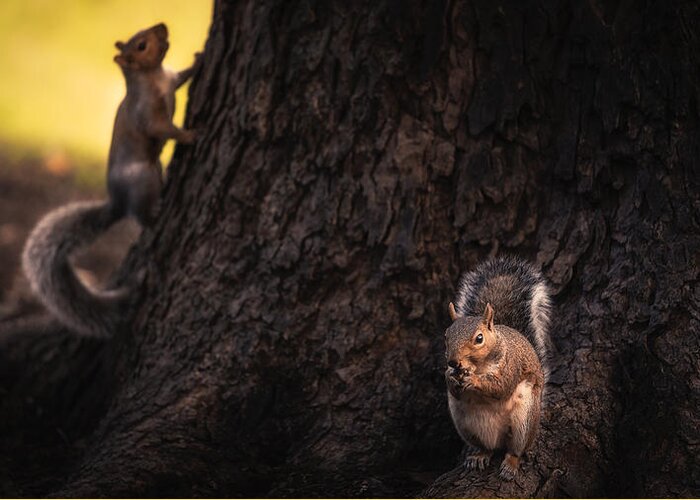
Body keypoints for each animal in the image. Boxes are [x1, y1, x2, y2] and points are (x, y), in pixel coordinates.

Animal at [21, 22, 200, 336]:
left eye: (144, 33)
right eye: (141, 45)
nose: (163, 26)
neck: (154, 76)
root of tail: (118, 201)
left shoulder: (171, 80)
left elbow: (183, 76)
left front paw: (199, 58)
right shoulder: (148, 115)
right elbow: (163, 129)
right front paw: (188, 136)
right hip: (143, 181)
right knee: (142, 217)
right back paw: (154, 214)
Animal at [442, 258, 552, 480]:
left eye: (479, 338)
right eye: (446, 336)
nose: (454, 362)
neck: (479, 366)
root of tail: (499, 439)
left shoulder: (511, 365)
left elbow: (501, 387)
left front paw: (473, 381)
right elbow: (454, 391)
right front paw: (450, 377)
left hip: (524, 421)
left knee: (515, 449)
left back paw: (510, 464)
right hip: (467, 427)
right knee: (488, 448)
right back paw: (479, 456)